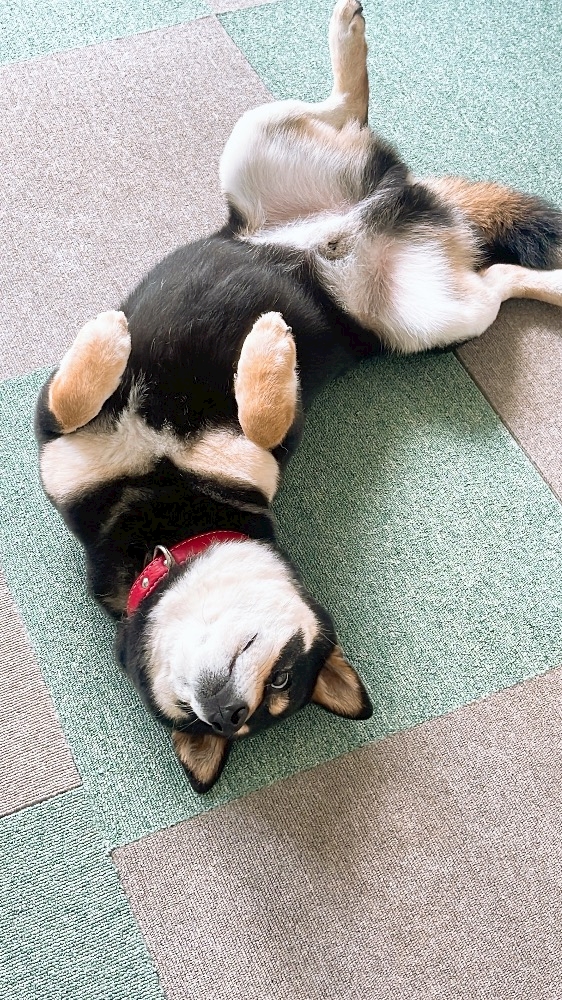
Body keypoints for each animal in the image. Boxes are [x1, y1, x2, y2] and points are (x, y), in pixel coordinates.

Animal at [35, 0, 562, 792]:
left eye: (282, 681)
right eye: (197, 723)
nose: (227, 713)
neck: (169, 522)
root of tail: (393, 208)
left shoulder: (249, 455)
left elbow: (255, 412)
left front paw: (265, 355)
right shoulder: (64, 452)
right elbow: (72, 401)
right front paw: (131, 342)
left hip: (289, 181)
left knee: (354, 118)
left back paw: (350, 42)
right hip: (423, 308)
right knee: (497, 273)